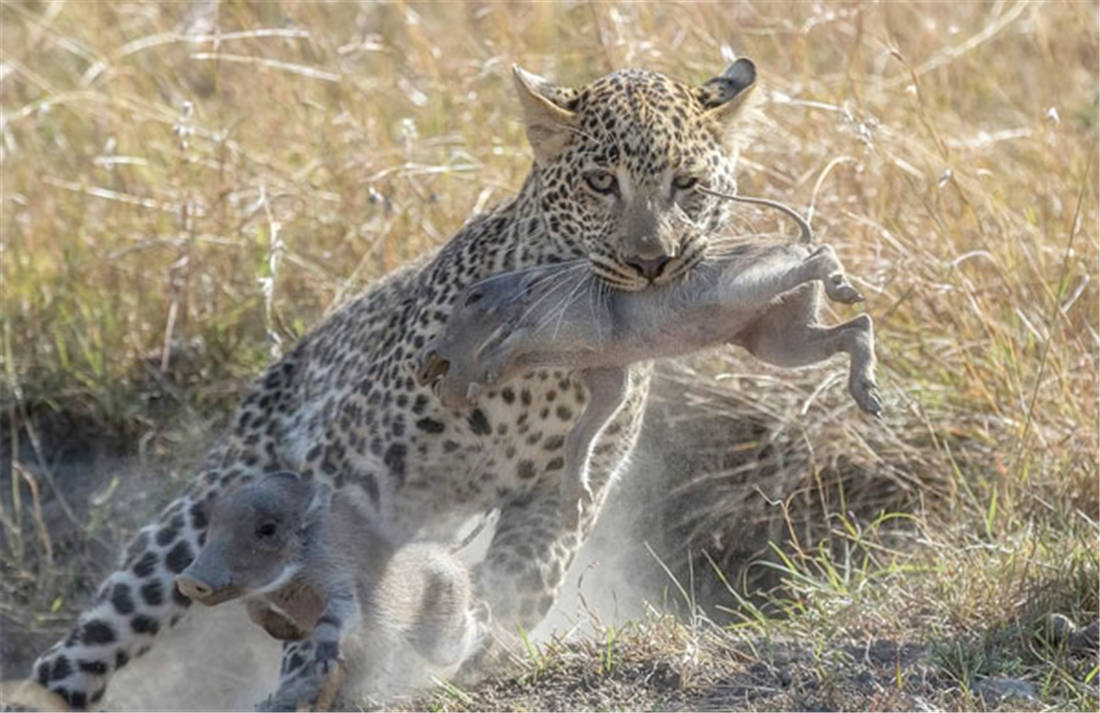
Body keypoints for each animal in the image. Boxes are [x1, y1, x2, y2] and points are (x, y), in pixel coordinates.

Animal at [27, 57, 765, 708]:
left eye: (688, 183)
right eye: (600, 181)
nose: (651, 262)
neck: (546, 368)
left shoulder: (560, 498)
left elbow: (516, 582)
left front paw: (465, 643)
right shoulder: (356, 476)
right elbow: (324, 574)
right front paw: (315, 671)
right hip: (194, 518)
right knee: (96, 635)